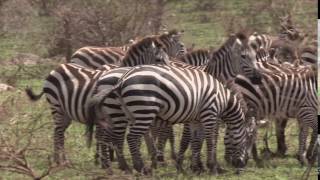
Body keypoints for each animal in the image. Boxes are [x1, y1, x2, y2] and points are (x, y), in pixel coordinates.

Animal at [25, 35, 170, 168]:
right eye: (158, 59)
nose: (169, 75)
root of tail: (56, 68)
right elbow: (106, 138)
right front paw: (104, 160)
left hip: (66, 112)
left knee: (57, 132)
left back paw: (59, 160)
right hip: (56, 106)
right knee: (59, 132)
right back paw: (62, 162)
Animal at [88, 64, 258, 174]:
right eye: (250, 137)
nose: (242, 166)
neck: (224, 99)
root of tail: (121, 80)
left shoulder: (196, 119)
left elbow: (196, 141)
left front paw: (197, 167)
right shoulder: (210, 113)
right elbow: (210, 140)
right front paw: (212, 167)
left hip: (123, 113)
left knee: (116, 137)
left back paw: (124, 166)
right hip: (142, 110)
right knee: (130, 137)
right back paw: (140, 167)